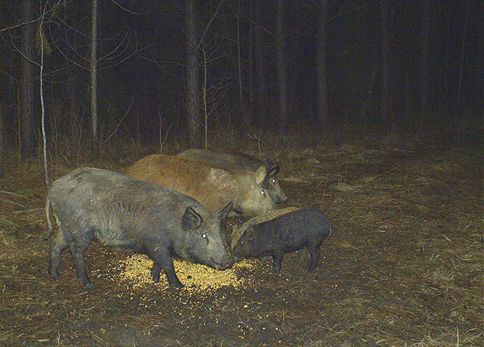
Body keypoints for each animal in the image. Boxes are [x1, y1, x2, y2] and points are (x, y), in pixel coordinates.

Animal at [46, 167, 233, 290]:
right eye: (203, 235)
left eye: (220, 233)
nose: (228, 261)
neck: (173, 225)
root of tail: (54, 186)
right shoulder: (155, 242)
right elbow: (167, 263)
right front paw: (179, 286)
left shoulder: (157, 245)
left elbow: (159, 262)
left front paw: (154, 279)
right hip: (80, 228)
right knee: (75, 250)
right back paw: (89, 284)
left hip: (65, 225)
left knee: (55, 244)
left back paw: (54, 276)